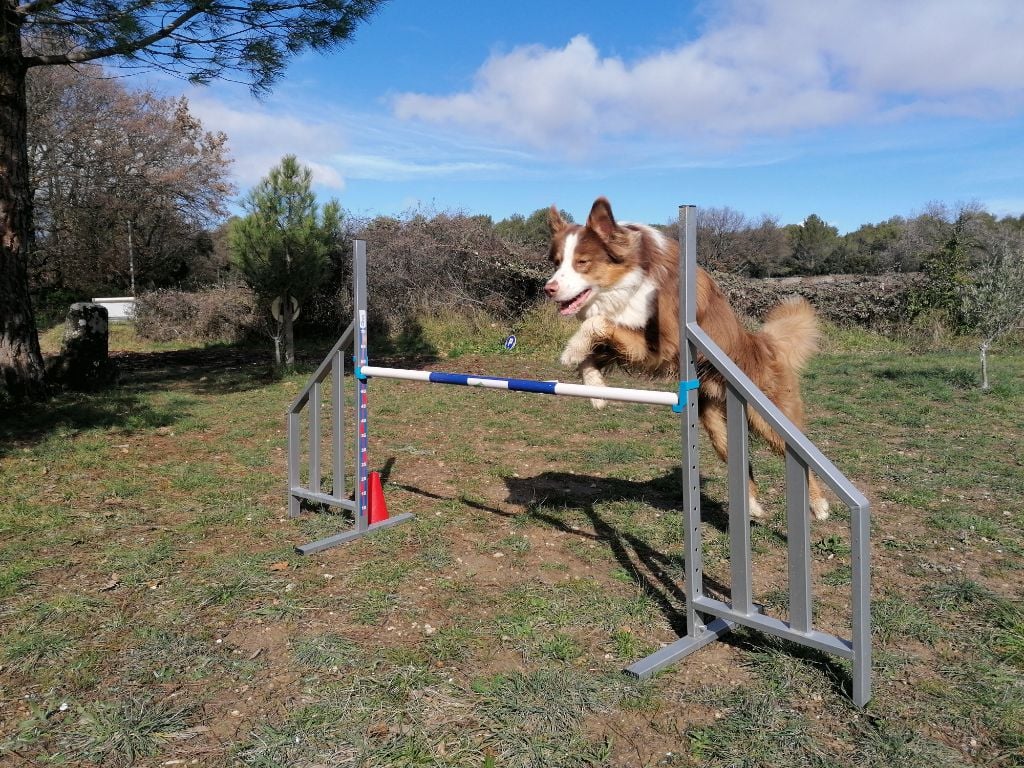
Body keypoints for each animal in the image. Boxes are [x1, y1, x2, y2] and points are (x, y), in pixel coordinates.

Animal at [548, 198, 827, 524]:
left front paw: (571, 351)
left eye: (582, 262)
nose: (548, 288)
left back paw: (820, 505)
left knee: (803, 460)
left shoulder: (662, 346)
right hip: (718, 425)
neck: (634, 277)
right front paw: (596, 391)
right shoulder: (633, 344)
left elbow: (597, 323)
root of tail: (765, 344)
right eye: (557, 262)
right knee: (741, 465)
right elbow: (595, 344)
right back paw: (752, 506)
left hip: (769, 420)